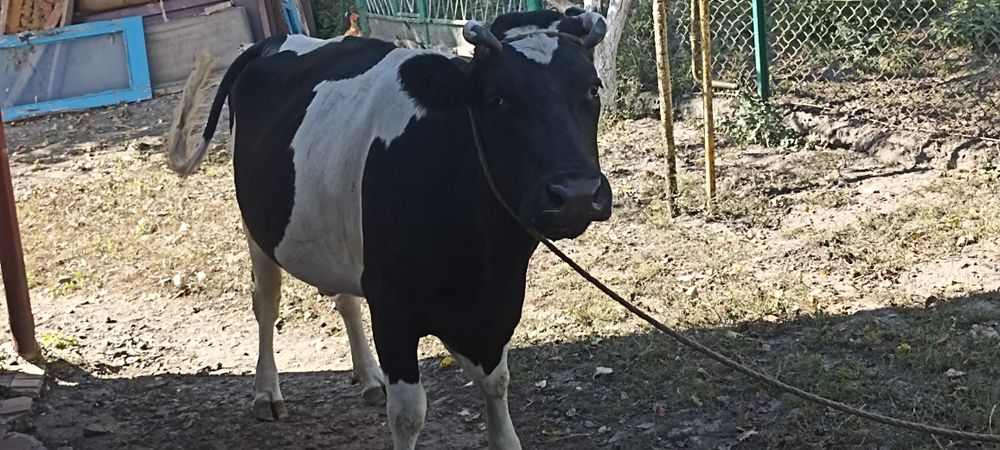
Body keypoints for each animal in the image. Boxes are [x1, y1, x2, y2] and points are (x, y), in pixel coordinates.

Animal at [166, 8, 612, 449]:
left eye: (593, 89)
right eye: (497, 98)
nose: (575, 194)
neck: (481, 261)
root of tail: (273, 41)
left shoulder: (497, 307)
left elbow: (497, 386)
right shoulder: (392, 308)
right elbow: (408, 414)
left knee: (345, 300)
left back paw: (368, 377)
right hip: (257, 227)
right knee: (267, 302)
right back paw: (266, 392)